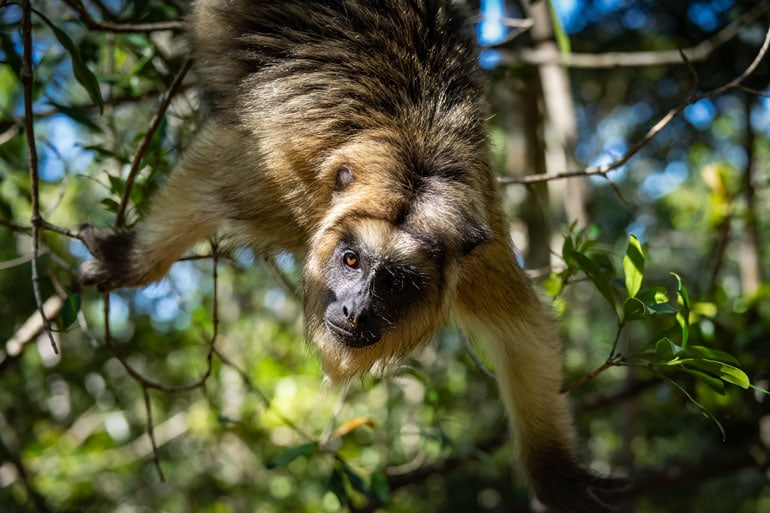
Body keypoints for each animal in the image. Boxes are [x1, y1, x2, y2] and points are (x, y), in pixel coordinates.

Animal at [79, 2, 624, 510]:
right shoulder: (275, 175)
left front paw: (555, 475)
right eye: (351, 261)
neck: (411, 163)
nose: (356, 309)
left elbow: (523, 333)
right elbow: (212, 172)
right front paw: (129, 261)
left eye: (396, 283)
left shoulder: (473, 256)